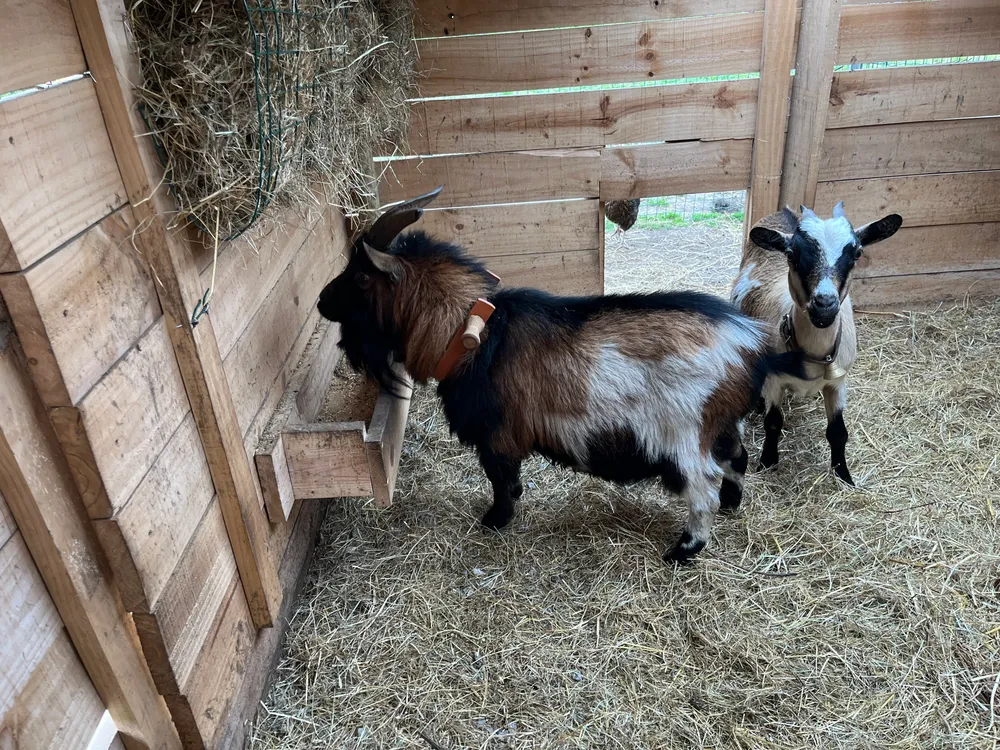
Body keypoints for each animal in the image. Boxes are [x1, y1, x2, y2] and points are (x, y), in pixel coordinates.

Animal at [319, 188, 806, 562]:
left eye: (360, 277)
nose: (322, 301)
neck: (474, 331)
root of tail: (751, 346)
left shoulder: (498, 437)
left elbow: (503, 481)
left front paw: (495, 521)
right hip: (723, 423)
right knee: (737, 459)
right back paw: (731, 505)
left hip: (688, 436)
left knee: (703, 488)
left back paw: (683, 550)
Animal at [731, 203, 902, 484]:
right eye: (791, 254)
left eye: (857, 252)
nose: (824, 304)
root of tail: (785, 210)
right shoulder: (775, 381)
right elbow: (773, 422)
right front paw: (767, 462)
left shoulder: (837, 382)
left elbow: (838, 431)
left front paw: (843, 475)